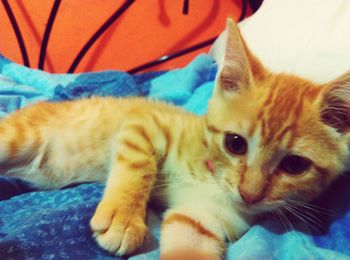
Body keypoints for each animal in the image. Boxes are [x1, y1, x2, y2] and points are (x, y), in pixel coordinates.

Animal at [0, 18, 350, 260]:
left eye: (295, 165)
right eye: (235, 143)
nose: (249, 194)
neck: (211, 175)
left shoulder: (200, 219)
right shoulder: (145, 119)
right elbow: (138, 163)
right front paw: (124, 218)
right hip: (15, 137)